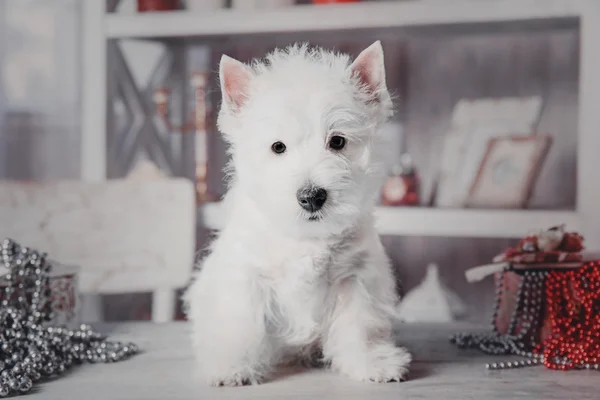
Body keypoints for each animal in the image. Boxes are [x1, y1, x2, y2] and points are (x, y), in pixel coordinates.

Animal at [183, 41, 410, 388]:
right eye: (278, 147)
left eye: (337, 141)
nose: (311, 197)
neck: (305, 237)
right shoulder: (246, 276)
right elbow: (240, 322)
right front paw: (231, 367)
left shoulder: (356, 277)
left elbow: (361, 324)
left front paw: (373, 363)